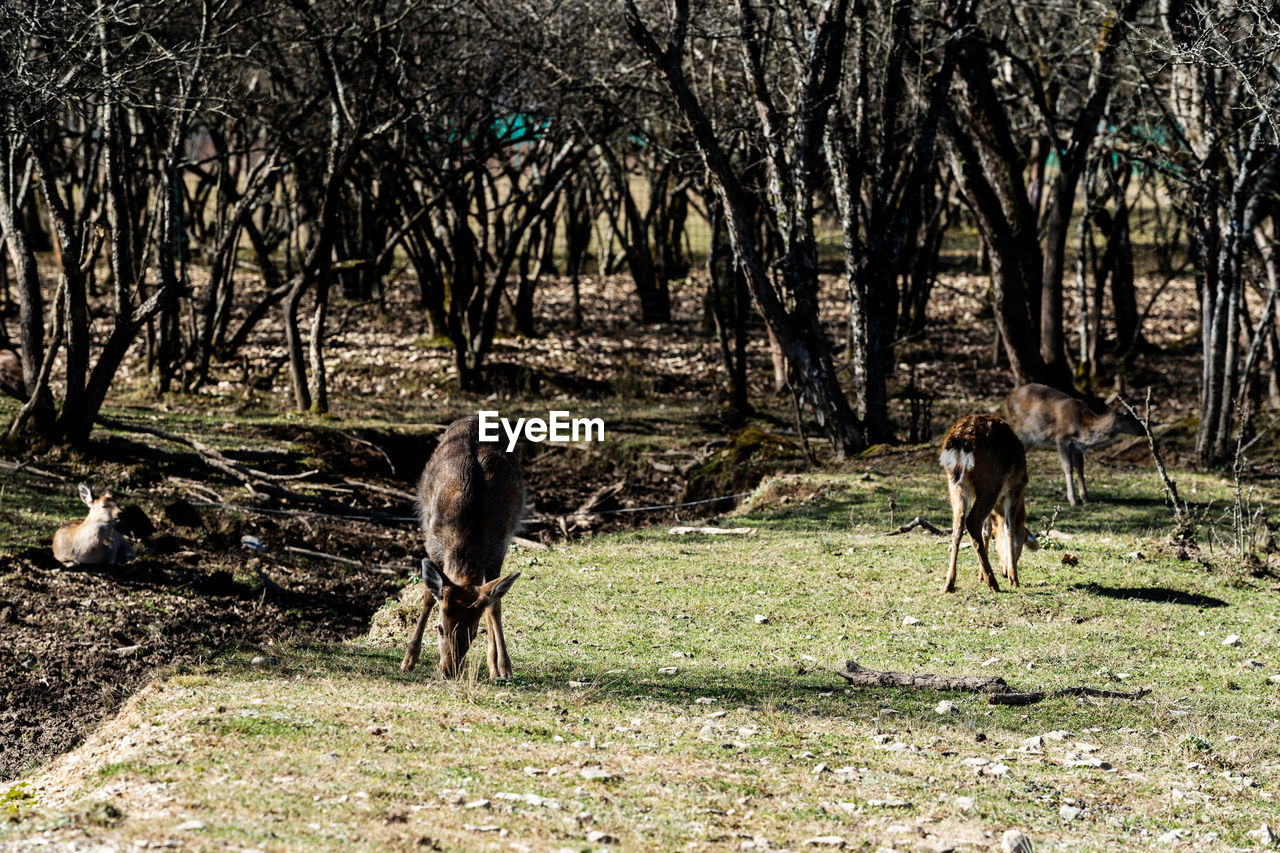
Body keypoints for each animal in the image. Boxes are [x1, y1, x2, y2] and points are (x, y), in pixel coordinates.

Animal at [396, 412, 522, 676]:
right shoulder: (432, 541)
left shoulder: (499, 546)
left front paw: (502, 666)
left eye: (472, 632)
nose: (450, 670)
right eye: (440, 628)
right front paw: (409, 659)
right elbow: (428, 595)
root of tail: (474, 416)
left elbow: (494, 604)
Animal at [942, 412, 1039, 591]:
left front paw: (980, 576)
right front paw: (1014, 579)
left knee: (958, 524)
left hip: (955, 482)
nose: (1004, 572)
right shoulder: (1014, 488)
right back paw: (993, 582)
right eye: (1021, 544)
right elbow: (1009, 527)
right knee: (972, 521)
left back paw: (950, 583)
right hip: (991, 481)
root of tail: (961, 440)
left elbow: (986, 530)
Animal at [998, 379, 1141, 504]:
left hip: (1029, 440)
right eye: (1129, 417)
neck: (1082, 428)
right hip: (1020, 430)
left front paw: (1086, 499)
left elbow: (1080, 468)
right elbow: (1068, 467)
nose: (1143, 430)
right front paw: (1073, 500)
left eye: (1136, 412)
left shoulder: (1076, 446)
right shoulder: (1061, 438)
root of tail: (1005, 401)